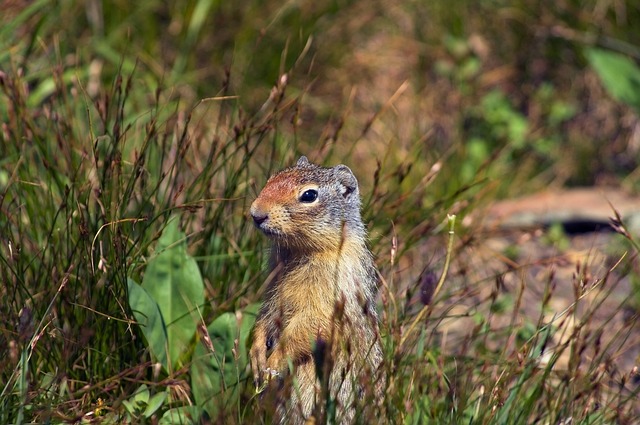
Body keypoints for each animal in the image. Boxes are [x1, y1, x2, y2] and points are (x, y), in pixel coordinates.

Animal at [249, 157, 380, 424]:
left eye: (309, 195)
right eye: (273, 177)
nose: (255, 214)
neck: (299, 251)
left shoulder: (330, 294)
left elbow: (308, 326)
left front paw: (272, 363)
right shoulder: (272, 291)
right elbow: (264, 317)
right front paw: (256, 355)